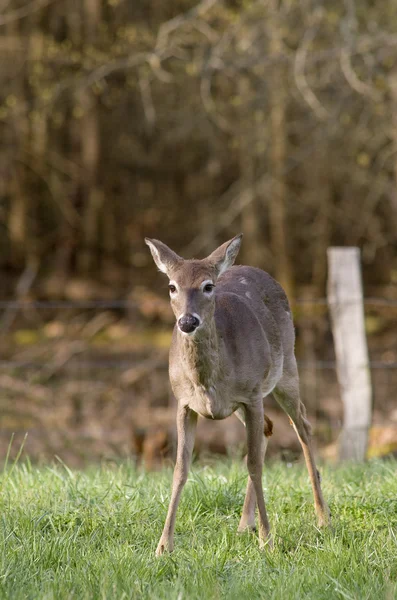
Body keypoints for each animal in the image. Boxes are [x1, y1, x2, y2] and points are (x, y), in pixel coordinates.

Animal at [144, 232, 330, 556]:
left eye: (208, 286)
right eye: (172, 286)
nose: (187, 321)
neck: (208, 382)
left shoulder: (252, 394)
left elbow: (253, 464)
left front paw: (268, 540)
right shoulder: (183, 402)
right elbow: (180, 469)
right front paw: (163, 546)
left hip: (286, 369)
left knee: (303, 426)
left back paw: (322, 517)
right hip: (246, 403)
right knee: (269, 428)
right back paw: (245, 524)